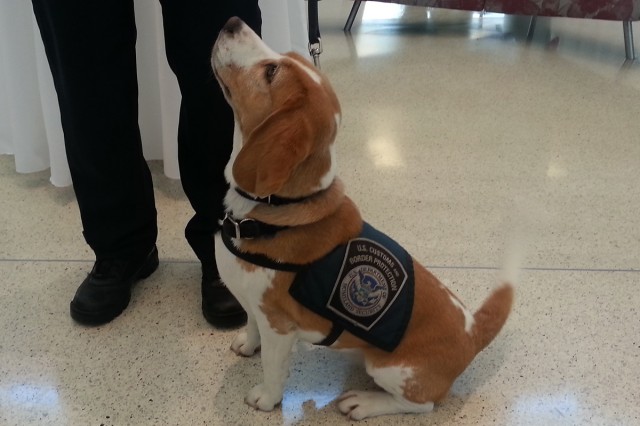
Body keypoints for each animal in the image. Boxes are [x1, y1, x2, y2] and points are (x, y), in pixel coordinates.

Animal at [212, 17, 512, 420]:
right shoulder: (253, 306)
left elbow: (273, 368)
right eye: (282, 58)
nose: (232, 22)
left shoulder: (278, 325)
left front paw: (266, 397)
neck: (267, 211)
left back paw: (363, 402)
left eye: (271, 71)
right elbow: (250, 324)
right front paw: (247, 343)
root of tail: (473, 331)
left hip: (390, 369)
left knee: (422, 405)